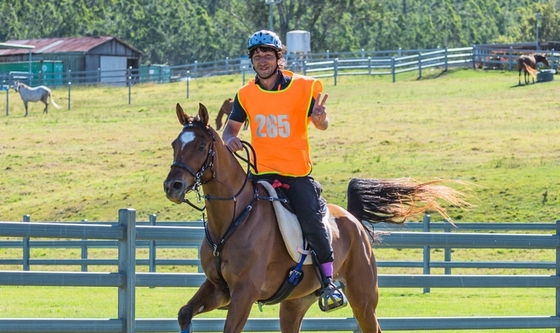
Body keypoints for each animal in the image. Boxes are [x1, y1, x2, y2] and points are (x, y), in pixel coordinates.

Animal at [164, 102, 470, 330]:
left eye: (200, 147)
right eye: (174, 144)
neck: (233, 219)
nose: (172, 186)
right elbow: (184, 313)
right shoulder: (219, 289)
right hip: (294, 304)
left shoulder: (244, 293)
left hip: (363, 300)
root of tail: (353, 220)